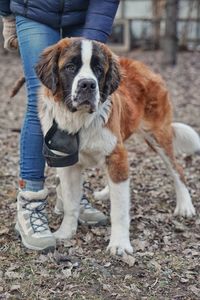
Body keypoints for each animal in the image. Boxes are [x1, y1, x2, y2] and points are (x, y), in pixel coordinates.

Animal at [35, 36, 199, 254]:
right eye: (70, 67)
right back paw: (106, 192)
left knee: (177, 169)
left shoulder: (116, 155)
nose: (87, 84)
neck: (80, 121)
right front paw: (65, 232)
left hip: (158, 136)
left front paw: (120, 243)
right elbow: (70, 202)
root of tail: (147, 68)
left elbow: (119, 210)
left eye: (98, 69)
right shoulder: (68, 165)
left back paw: (185, 206)